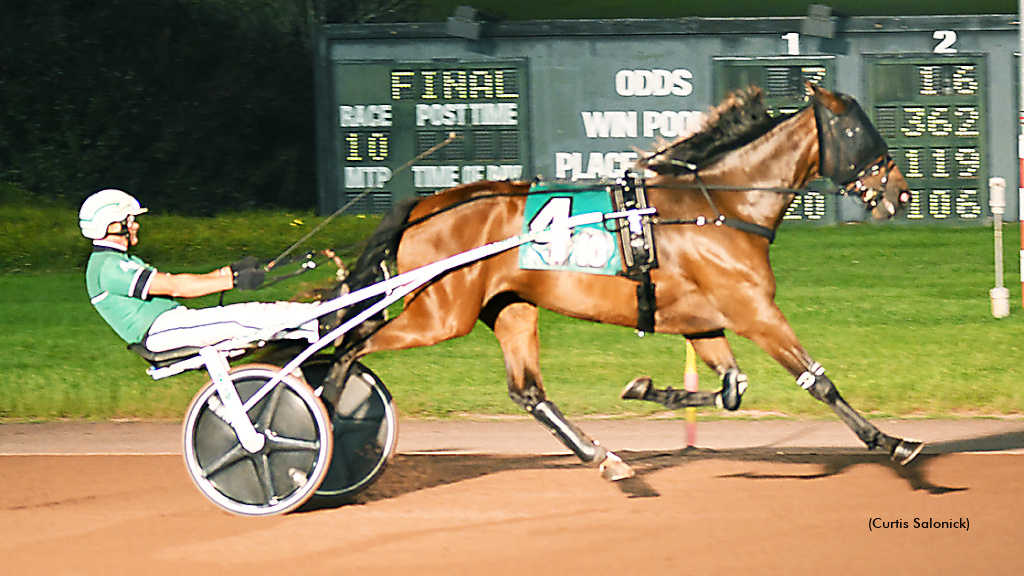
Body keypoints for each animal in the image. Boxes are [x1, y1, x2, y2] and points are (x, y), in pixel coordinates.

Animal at [325, 84, 921, 479]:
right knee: (350, 345)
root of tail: (424, 205)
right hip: (441, 314)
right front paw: (891, 441)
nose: (901, 191)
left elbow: (731, 390)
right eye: (855, 130)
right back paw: (327, 416)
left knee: (528, 390)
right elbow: (818, 382)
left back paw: (601, 455)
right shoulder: (755, 312)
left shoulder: (705, 323)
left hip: (510, 308)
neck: (717, 208)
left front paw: (648, 388)